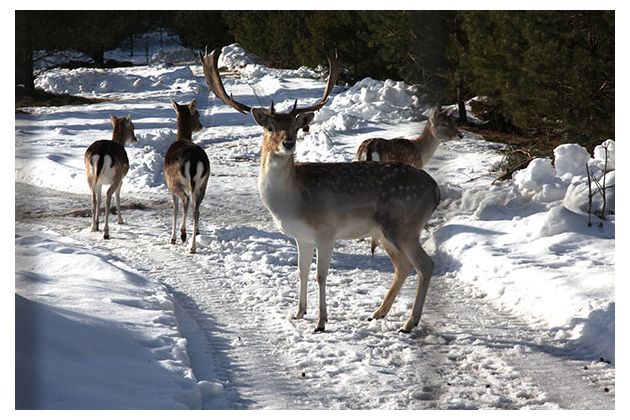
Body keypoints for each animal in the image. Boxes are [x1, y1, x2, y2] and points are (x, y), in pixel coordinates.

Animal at [164, 99, 211, 253]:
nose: (201, 126)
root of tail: (194, 160)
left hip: (174, 182)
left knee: (185, 200)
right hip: (203, 183)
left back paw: (183, 234)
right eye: (197, 115)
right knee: (196, 209)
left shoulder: (170, 185)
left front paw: (172, 238)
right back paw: (193, 246)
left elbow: (175, 209)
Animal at [200, 46, 442, 334]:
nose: (288, 143)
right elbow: (301, 271)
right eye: (270, 127)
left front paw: (320, 322)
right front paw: (298, 312)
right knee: (404, 266)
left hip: (404, 225)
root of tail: (435, 189)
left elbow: (320, 275)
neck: (291, 200)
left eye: (295, 127)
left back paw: (409, 323)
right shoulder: (301, 236)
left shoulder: (326, 232)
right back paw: (377, 313)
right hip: (385, 232)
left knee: (425, 265)